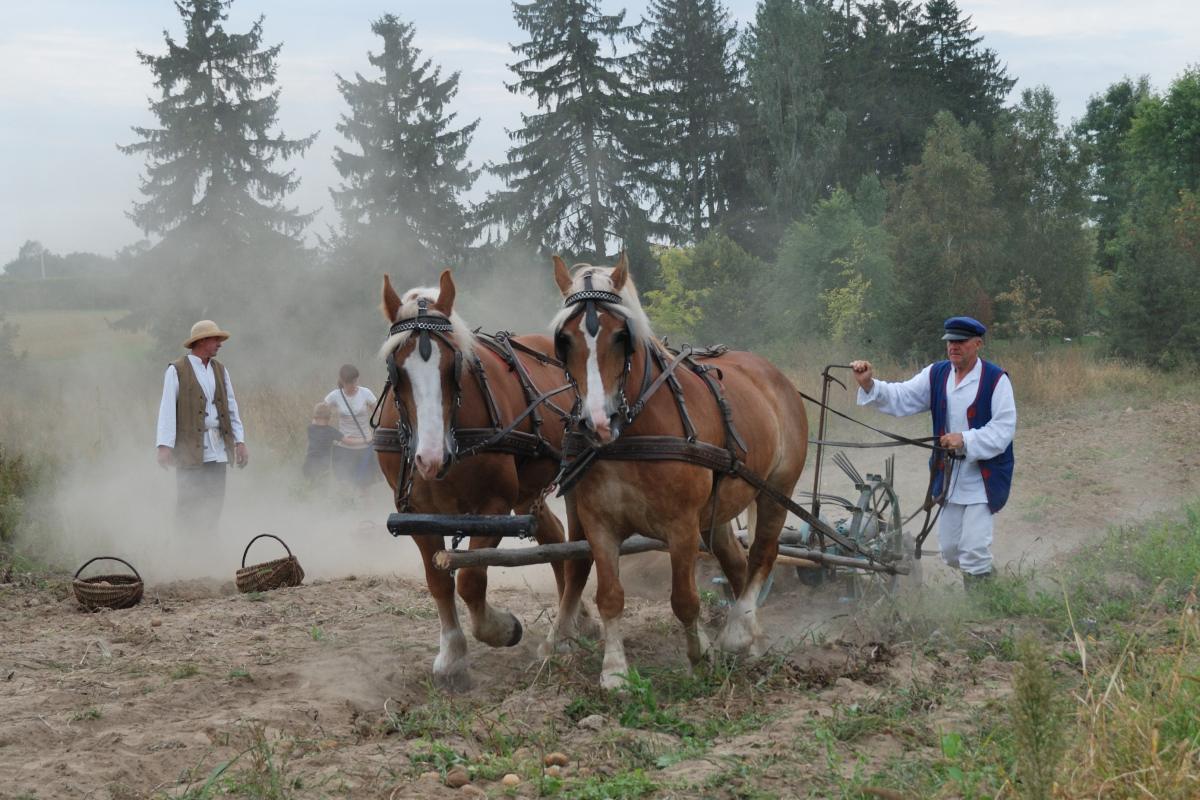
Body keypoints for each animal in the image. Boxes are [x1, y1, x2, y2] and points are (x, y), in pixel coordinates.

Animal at [376, 271, 592, 695]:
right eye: (396, 370)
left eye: (453, 365)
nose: (430, 458)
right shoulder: (415, 513)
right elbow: (438, 581)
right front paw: (451, 656)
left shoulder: (494, 507)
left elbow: (471, 580)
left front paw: (501, 629)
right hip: (529, 495)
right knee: (557, 541)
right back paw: (576, 619)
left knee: (582, 551)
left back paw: (564, 634)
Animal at [547, 255, 811, 690]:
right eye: (564, 340)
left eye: (621, 335)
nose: (598, 423)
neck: (631, 436)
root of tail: (772, 374)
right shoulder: (598, 522)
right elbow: (610, 596)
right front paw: (615, 672)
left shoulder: (682, 526)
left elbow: (685, 600)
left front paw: (699, 658)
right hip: (718, 512)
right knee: (736, 562)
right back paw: (751, 638)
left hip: (776, 489)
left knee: (762, 554)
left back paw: (737, 632)